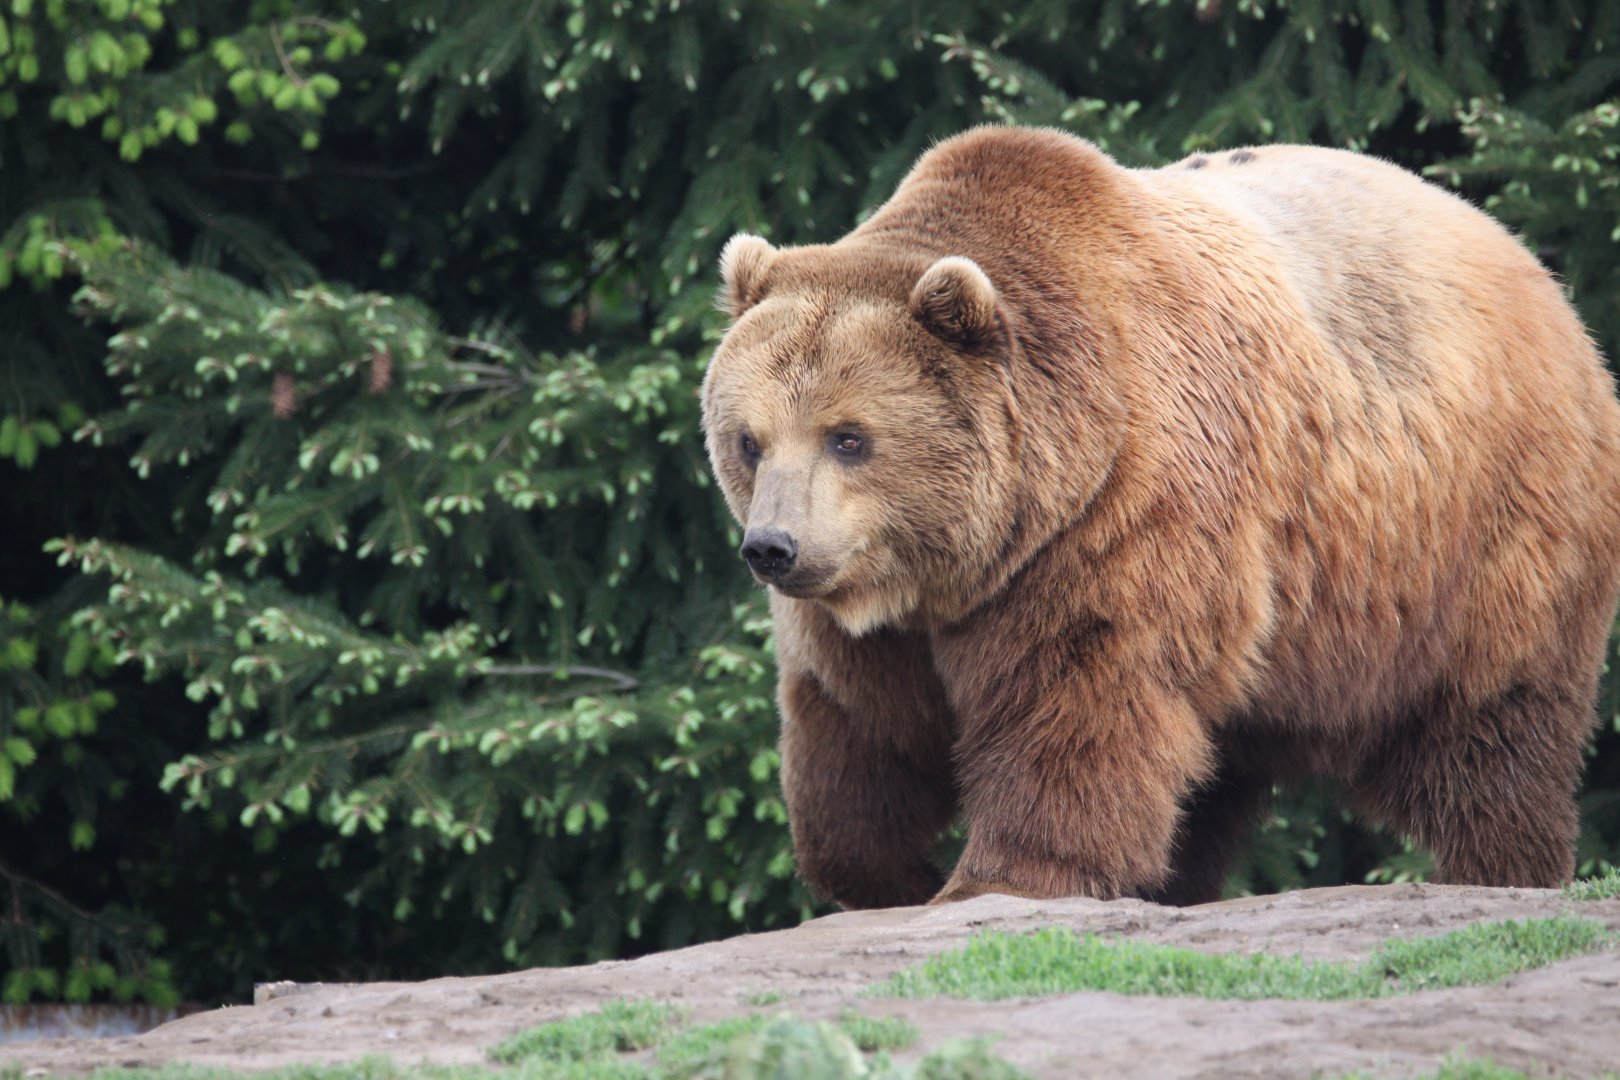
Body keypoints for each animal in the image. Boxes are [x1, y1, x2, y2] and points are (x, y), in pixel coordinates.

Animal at [700, 125, 1620, 909]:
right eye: (748, 439)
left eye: (849, 437)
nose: (772, 548)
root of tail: (1538, 274)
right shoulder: (879, 612)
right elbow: (859, 723)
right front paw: (890, 872)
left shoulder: (1124, 504)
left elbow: (1084, 680)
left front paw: (1005, 874)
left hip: (1482, 530)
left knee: (1491, 721)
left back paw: (1501, 863)